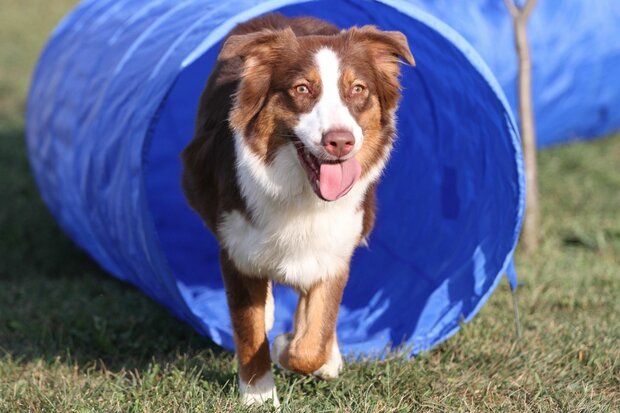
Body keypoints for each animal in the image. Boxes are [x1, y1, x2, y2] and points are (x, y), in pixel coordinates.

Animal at [180, 12, 412, 406]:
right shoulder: (237, 249)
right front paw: (258, 397)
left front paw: (303, 351)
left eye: (358, 89)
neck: (302, 194)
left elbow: (313, 341)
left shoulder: (336, 248)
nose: (339, 141)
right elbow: (250, 332)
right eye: (302, 89)